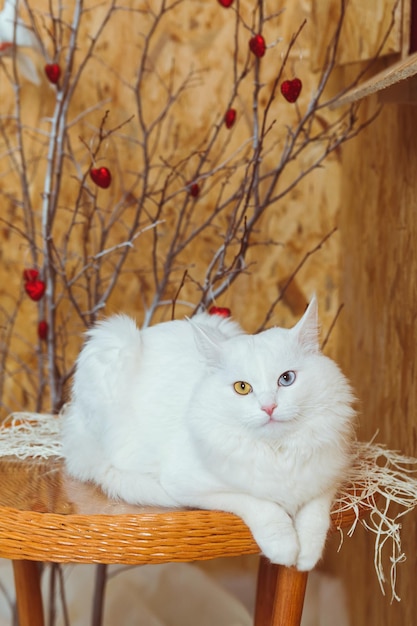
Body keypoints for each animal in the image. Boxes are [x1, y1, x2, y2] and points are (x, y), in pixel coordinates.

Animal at [61, 298, 354, 572]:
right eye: (242, 387)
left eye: (286, 379)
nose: (269, 407)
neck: (276, 451)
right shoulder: (193, 485)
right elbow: (262, 506)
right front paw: (284, 548)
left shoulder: (328, 477)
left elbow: (315, 518)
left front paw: (306, 557)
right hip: (113, 345)